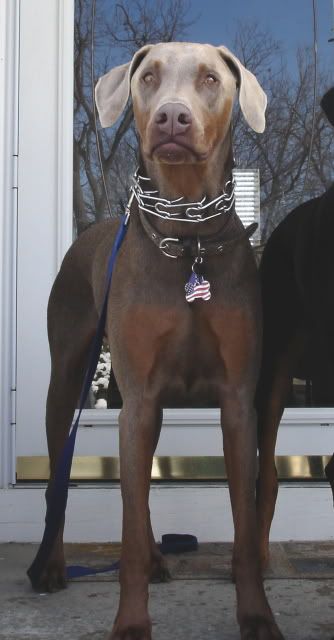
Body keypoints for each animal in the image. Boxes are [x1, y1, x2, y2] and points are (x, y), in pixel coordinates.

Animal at [37, 42, 284, 636]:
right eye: (148, 77)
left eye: (211, 78)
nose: (173, 117)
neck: (188, 233)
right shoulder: (141, 397)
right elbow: (126, 522)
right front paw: (130, 623)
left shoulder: (237, 400)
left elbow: (244, 526)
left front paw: (256, 615)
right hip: (69, 378)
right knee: (63, 479)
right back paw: (53, 565)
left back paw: (154, 558)